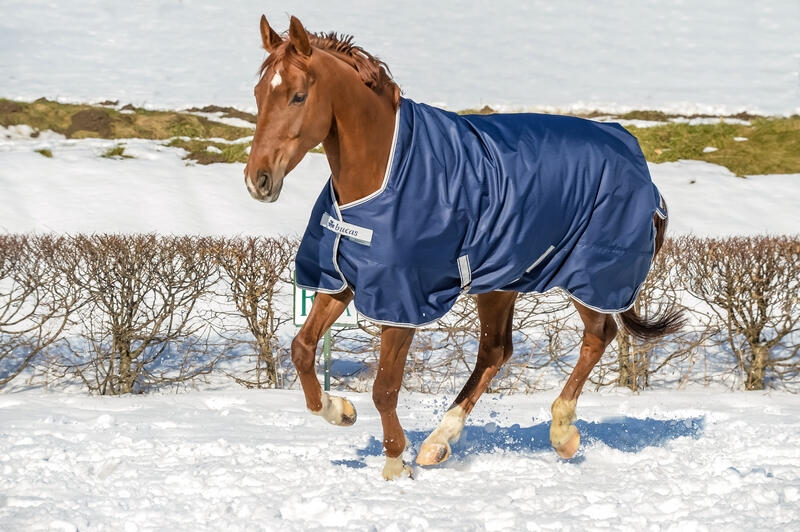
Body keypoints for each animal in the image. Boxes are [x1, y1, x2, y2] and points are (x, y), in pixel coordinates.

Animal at [244, 14, 684, 480]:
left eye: (298, 95)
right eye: (258, 94)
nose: (258, 180)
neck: (385, 168)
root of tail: (639, 164)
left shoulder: (402, 301)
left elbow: (384, 388)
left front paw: (395, 463)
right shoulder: (342, 281)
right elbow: (302, 350)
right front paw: (340, 410)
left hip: (588, 276)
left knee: (597, 336)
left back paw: (561, 432)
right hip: (503, 280)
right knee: (496, 351)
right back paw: (439, 442)